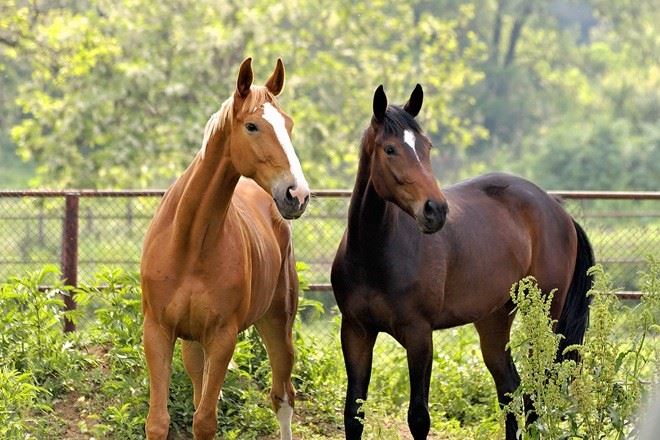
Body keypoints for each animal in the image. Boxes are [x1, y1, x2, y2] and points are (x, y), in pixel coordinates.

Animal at [141, 58, 310, 440]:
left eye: (289, 125)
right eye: (252, 126)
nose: (297, 194)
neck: (190, 244)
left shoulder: (222, 338)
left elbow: (205, 421)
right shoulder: (158, 331)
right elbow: (159, 421)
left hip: (278, 323)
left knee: (283, 397)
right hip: (192, 343)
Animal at [330, 84, 592, 438]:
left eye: (426, 146)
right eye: (390, 149)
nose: (436, 210)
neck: (374, 255)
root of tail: (556, 208)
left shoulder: (419, 335)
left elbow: (418, 417)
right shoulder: (355, 332)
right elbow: (353, 414)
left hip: (543, 316)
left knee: (538, 393)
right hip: (494, 319)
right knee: (511, 392)